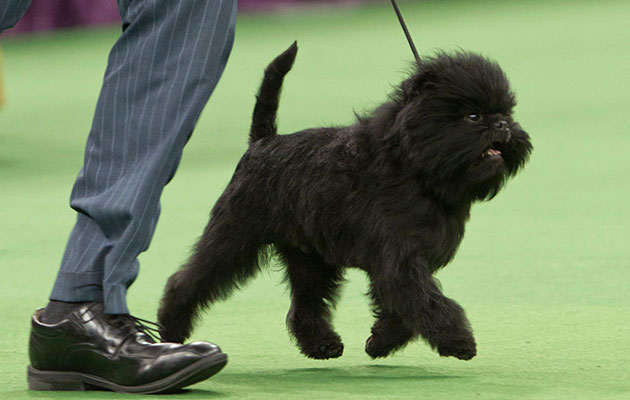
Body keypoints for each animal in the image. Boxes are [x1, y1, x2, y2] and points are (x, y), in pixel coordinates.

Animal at [158, 42, 532, 360]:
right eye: (473, 116)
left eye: (507, 112)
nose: (503, 125)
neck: (415, 169)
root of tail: (262, 142)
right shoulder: (399, 259)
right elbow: (427, 301)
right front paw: (458, 341)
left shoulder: (405, 262)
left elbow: (406, 307)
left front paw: (381, 342)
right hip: (235, 235)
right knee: (189, 279)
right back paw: (171, 329)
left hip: (309, 257)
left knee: (306, 303)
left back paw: (322, 344)